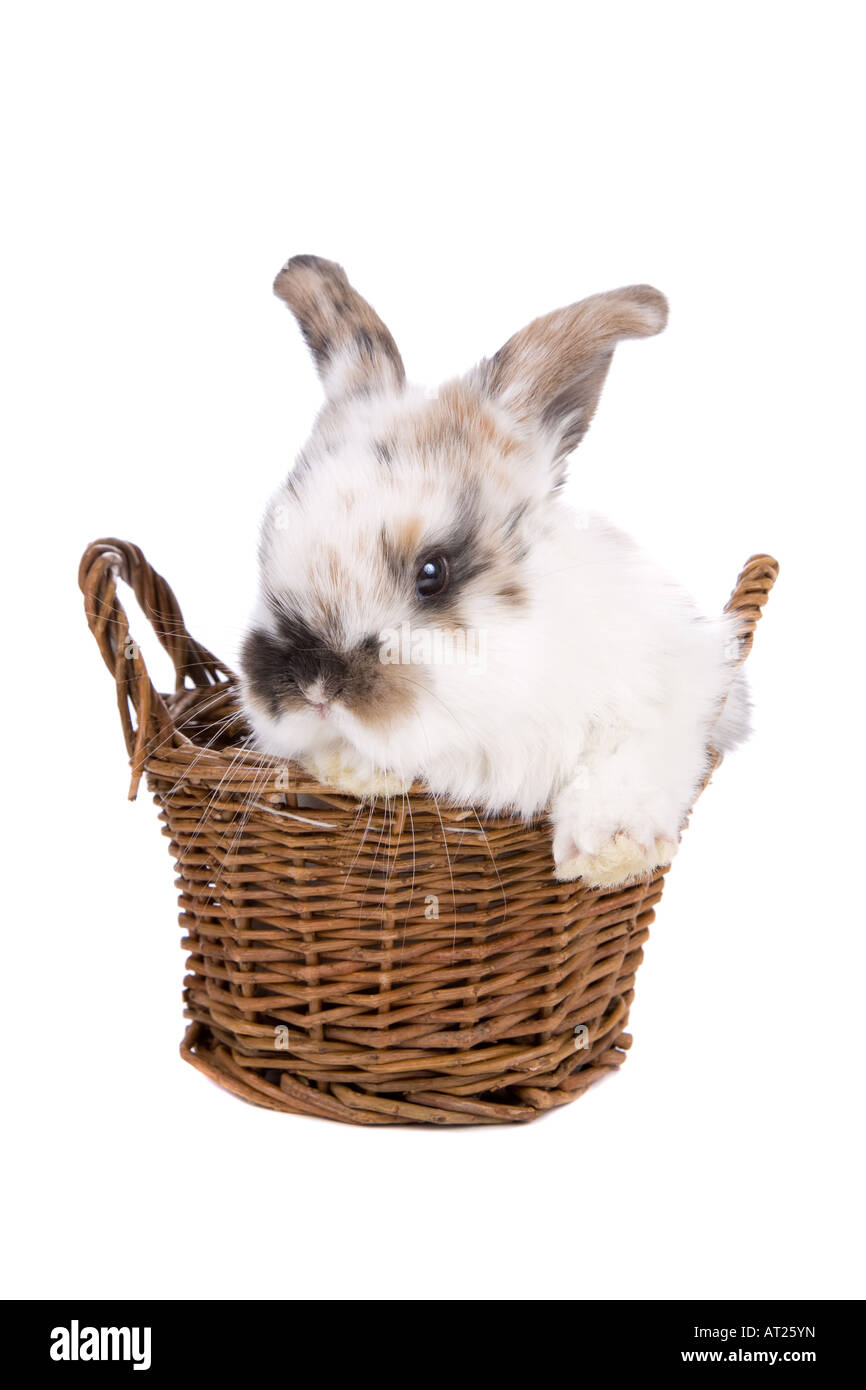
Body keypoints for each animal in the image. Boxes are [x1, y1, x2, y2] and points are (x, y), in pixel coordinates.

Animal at [239, 254, 750, 888]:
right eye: (265, 549)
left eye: (433, 573)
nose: (314, 688)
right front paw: (352, 770)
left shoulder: (683, 679)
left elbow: (632, 751)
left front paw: (610, 854)